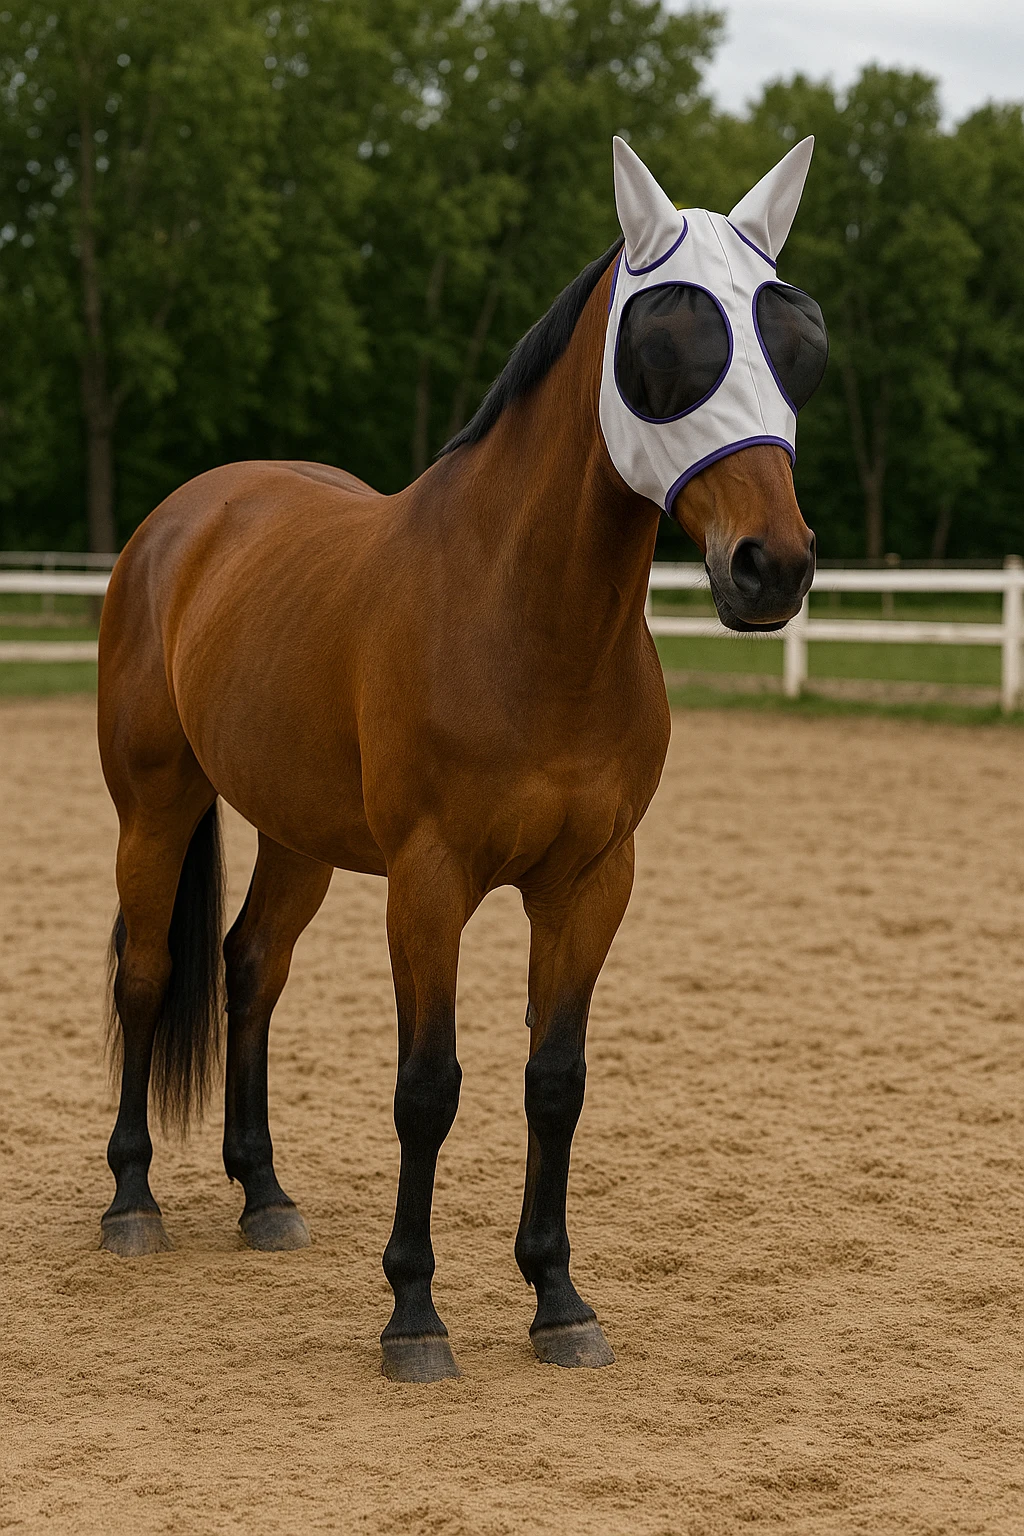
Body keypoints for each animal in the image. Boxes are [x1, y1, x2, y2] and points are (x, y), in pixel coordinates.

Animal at [97, 136, 825, 1382]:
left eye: (796, 345)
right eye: (663, 344)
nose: (768, 566)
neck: (525, 620)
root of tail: (184, 520)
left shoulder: (590, 883)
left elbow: (555, 1083)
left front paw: (558, 1300)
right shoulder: (430, 883)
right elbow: (427, 1088)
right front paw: (414, 1315)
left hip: (297, 836)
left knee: (250, 968)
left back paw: (263, 1194)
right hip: (155, 807)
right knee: (146, 976)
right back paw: (133, 1201)